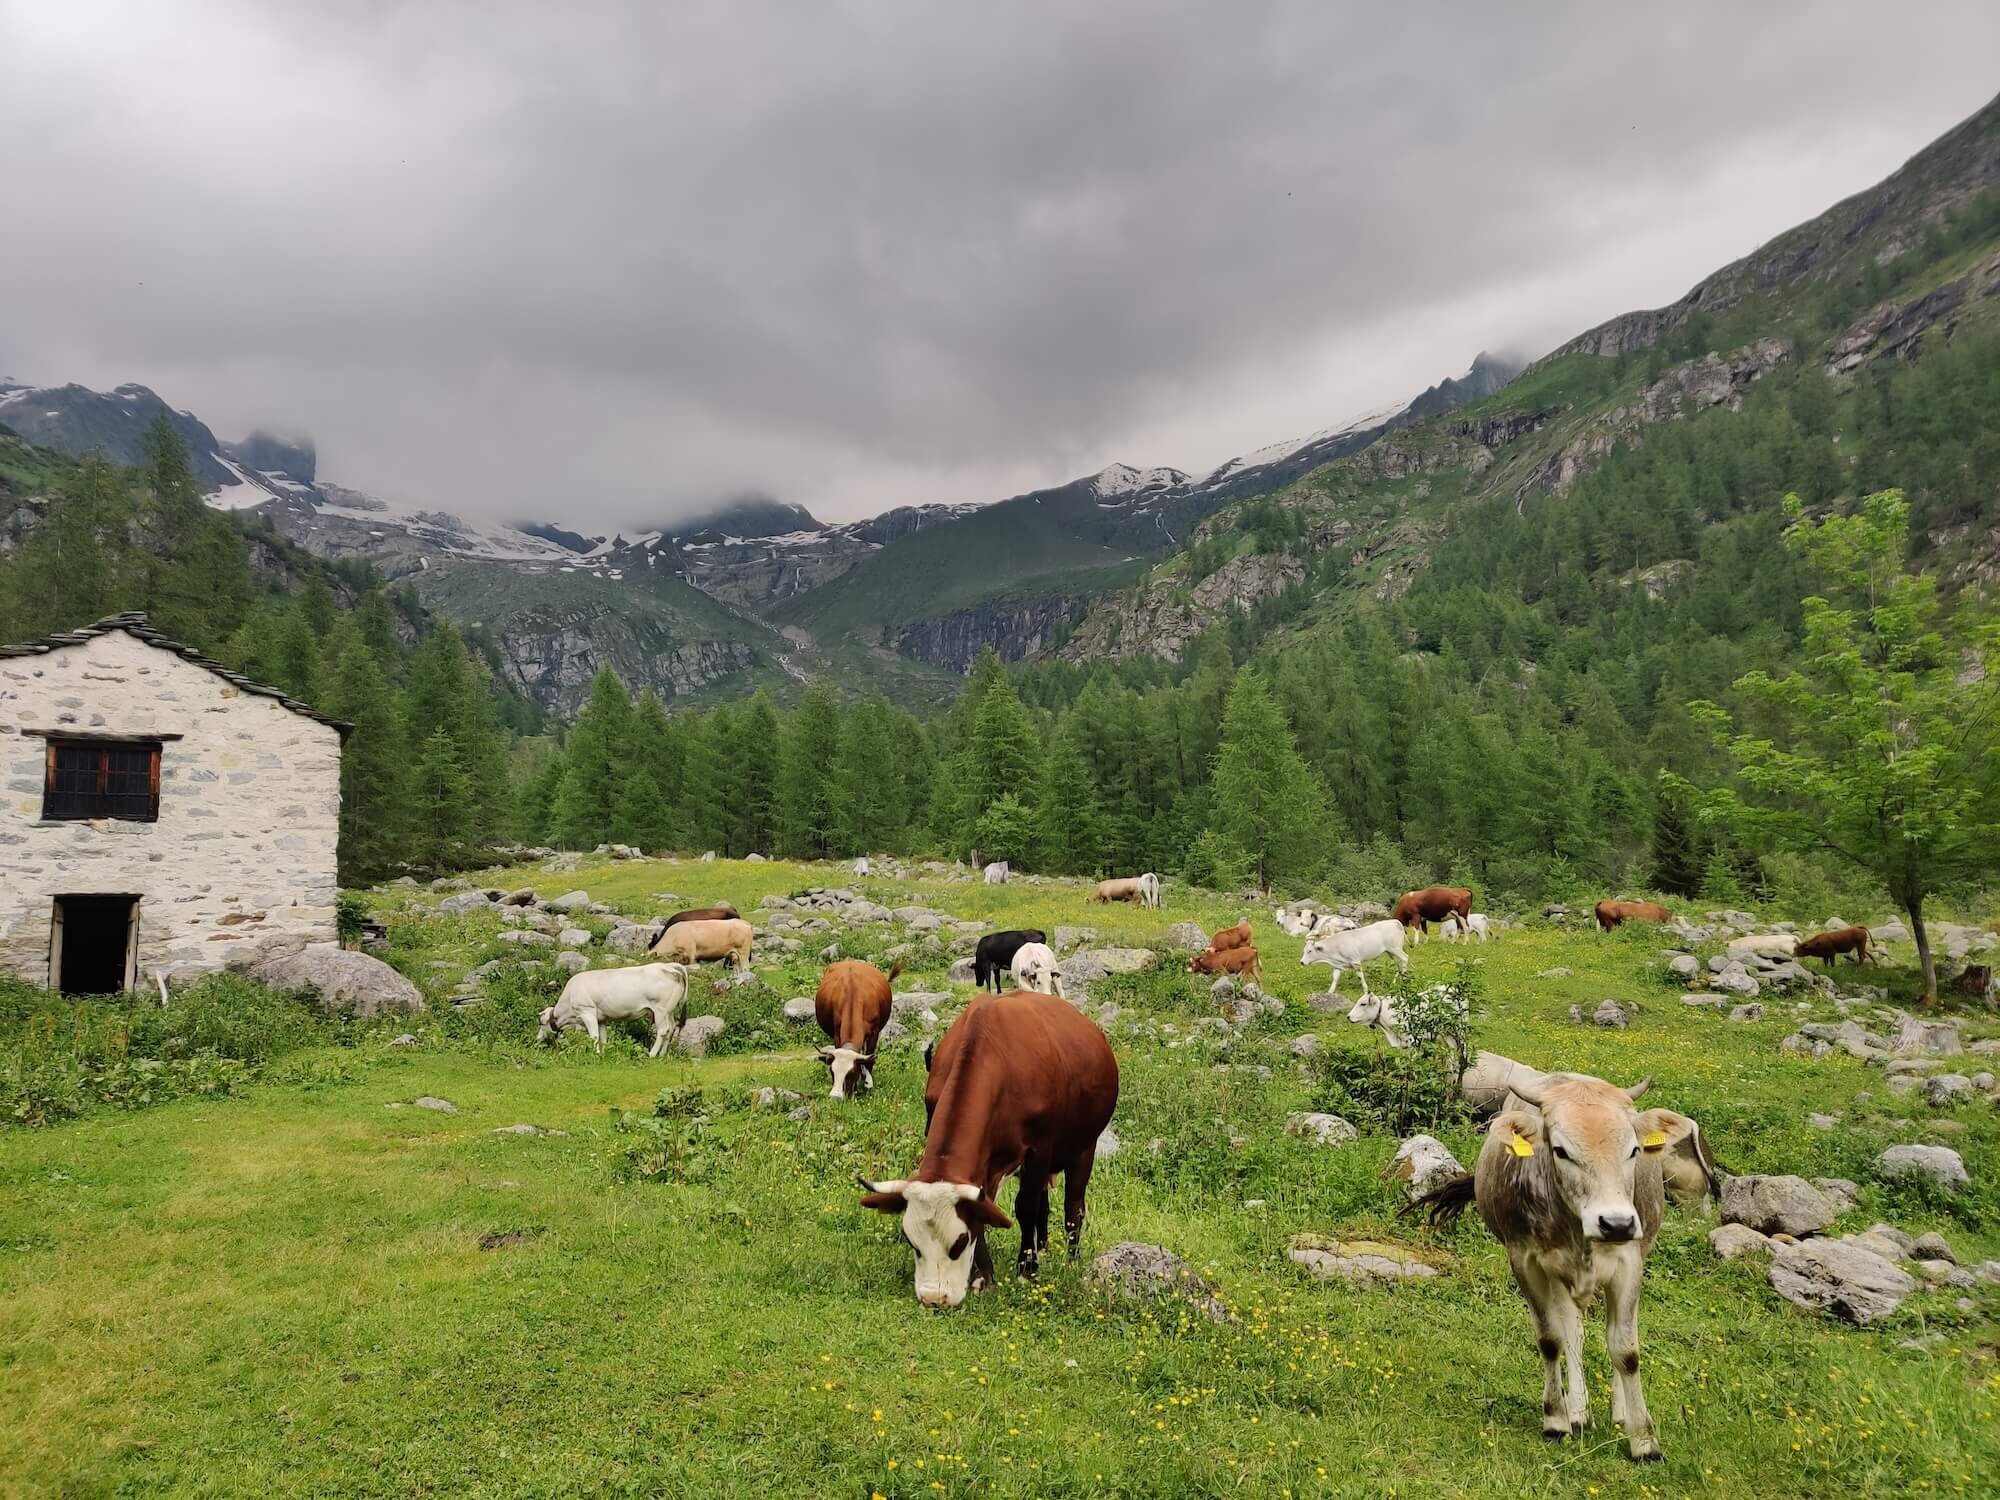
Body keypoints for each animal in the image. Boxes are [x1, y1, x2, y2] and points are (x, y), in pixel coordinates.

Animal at [536, 964, 692, 1056]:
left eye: (541, 1024)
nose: (537, 1039)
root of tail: (668, 966)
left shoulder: (587, 1012)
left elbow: (594, 1036)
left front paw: (595, 1054)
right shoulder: (602, 1018)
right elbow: (603, 1037)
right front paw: (603, 1053)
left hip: (660, 1009)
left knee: (663, 1030)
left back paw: (652, 1054)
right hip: (668, 1011)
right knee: (671, 1028)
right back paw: (662, 1054)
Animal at [812, 964, 908, 1104]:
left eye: (851, 1073)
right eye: (832, 1071)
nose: (835, 1097)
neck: (853, 995)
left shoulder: (874, 1033)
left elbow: (869, 1059)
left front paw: (867, 1084)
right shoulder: (837, 1033)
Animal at [852, 992, 1120, 1312]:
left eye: (959, 1242)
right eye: (912, 1242)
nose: (934, 1299)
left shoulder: (1039, 1150)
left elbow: (1024, 1207)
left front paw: (1026, 1269)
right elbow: (986, 1209)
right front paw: (984, 1276)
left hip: (1084, 1147)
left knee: (1073, 1207)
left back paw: (1069, 1258)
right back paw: (1043, 1246)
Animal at [1408, 1072, 1720, 1464]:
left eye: (1633, 1150)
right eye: (1561, 1150)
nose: (1616, 1223)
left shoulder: (1630, 1262)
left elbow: (1625, 1349)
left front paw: (1644, 1442)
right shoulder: (1526, 1261)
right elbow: (1551, 1339)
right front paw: (1556, 1420)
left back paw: (1616, 1412)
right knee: (1573, 1332)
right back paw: (1578, 1412)